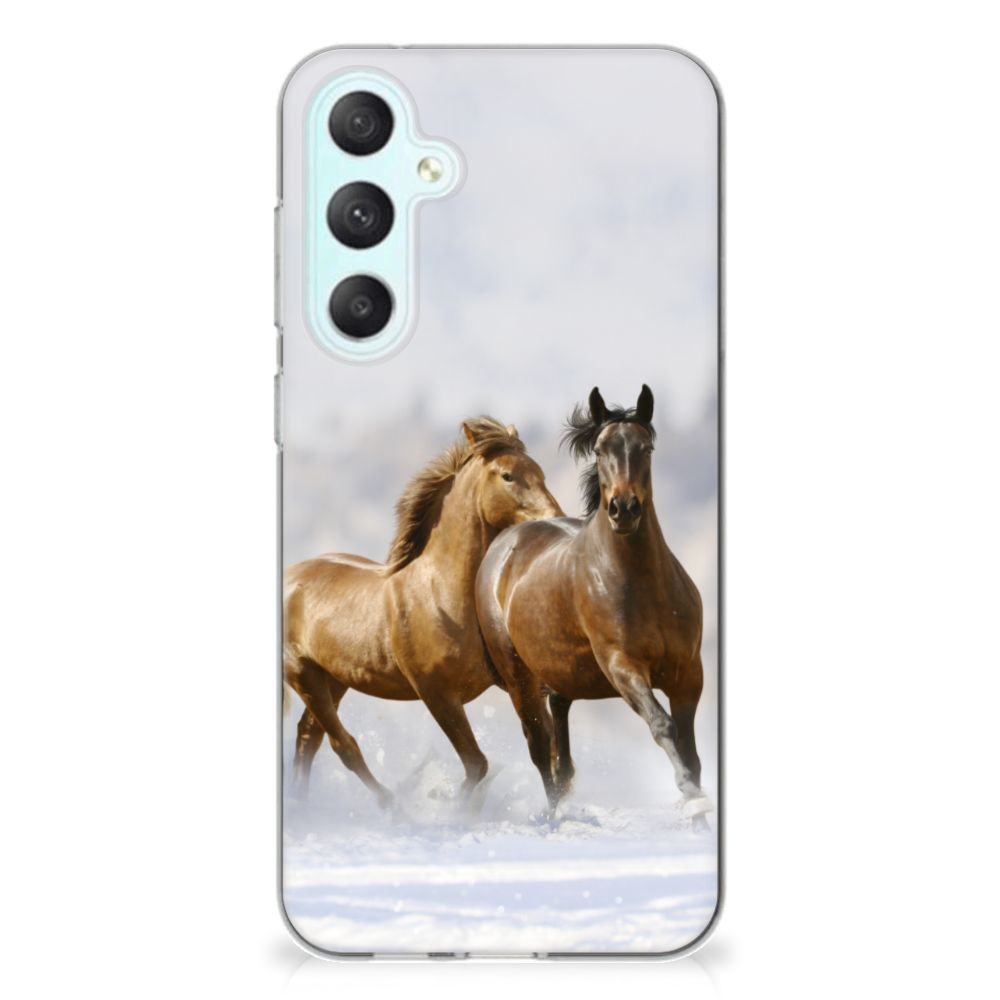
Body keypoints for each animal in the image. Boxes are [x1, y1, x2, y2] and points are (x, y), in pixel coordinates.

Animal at [283, 417, 562, 808]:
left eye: (540, 472)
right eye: (508, 475)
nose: (556, 519)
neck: (441, 595)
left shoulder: (516, 682)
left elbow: (543, 747)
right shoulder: (436, 693)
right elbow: (477, 763)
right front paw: (451, 806)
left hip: (334, 679)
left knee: (309, 737)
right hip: (303, 675)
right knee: (343, 745)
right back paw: (390, 804)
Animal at [475, 386, 713, 826]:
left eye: (646, 447)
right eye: (601, 450)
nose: (624, 509)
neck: (642, 585)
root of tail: (504, 544)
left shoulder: (688, 673)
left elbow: (691, 750)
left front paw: (700, 817)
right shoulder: (622, 666)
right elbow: (663, 726)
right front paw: (692, 800)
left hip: (561, 674)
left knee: (560, 743)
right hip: (519, 678)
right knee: (540, 748)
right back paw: (554, 817)